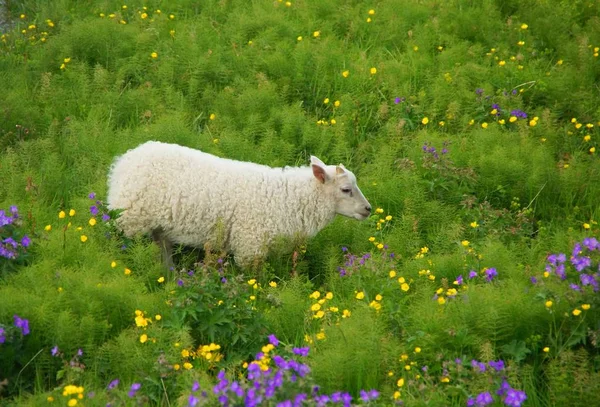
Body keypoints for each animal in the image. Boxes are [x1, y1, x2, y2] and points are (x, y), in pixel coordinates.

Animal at [107, 142, 370, 270]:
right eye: (346, 189)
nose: (368, 209)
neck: (288, 198)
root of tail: (124, 160)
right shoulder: (250, 246)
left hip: (157, 226)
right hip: (129, 218)